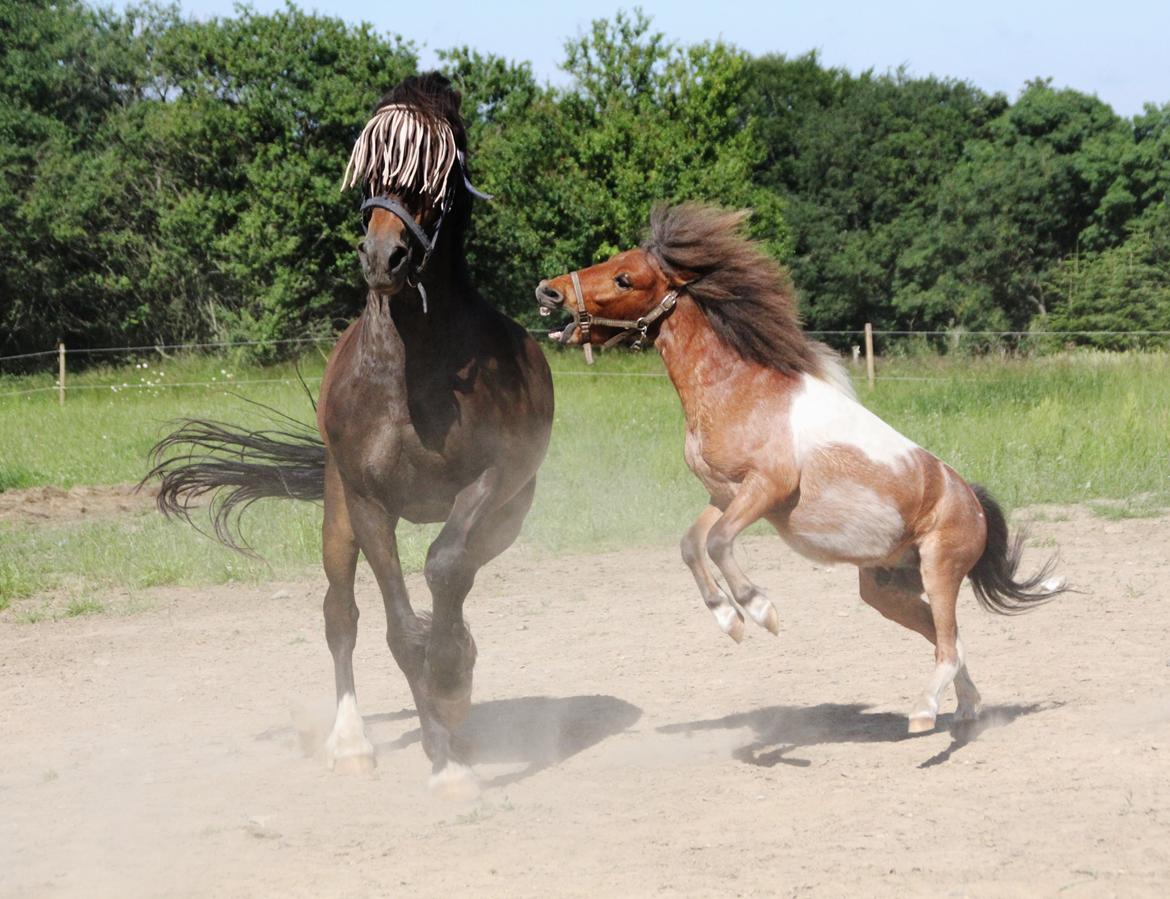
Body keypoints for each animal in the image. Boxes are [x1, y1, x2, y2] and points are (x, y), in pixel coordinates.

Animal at [149, 73, 552, 795]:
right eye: (369, 165)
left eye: (436, 171)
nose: (382, 256)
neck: (416, 369)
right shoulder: (367, 501)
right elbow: (396, 629)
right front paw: (444, 753)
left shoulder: (493, 480)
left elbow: (445, 568)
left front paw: (451, 682)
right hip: (337, 518)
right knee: (342, 615)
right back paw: (351, 742)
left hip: (507, 515)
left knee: (457, 574)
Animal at [535, 206, 1067, 739]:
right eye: (610, 261)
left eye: (624, 278)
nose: (549, 291)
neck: (735, 389)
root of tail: (973, 502)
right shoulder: (724, 495)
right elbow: (692, 545)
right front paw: (729, 620)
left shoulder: (767, 488)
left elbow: (718, 543)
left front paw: (759, 610)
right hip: (886, 591)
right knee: (948, 642)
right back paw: (967, 708)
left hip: (940, 570)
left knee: (949, 645)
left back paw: (924, 711)